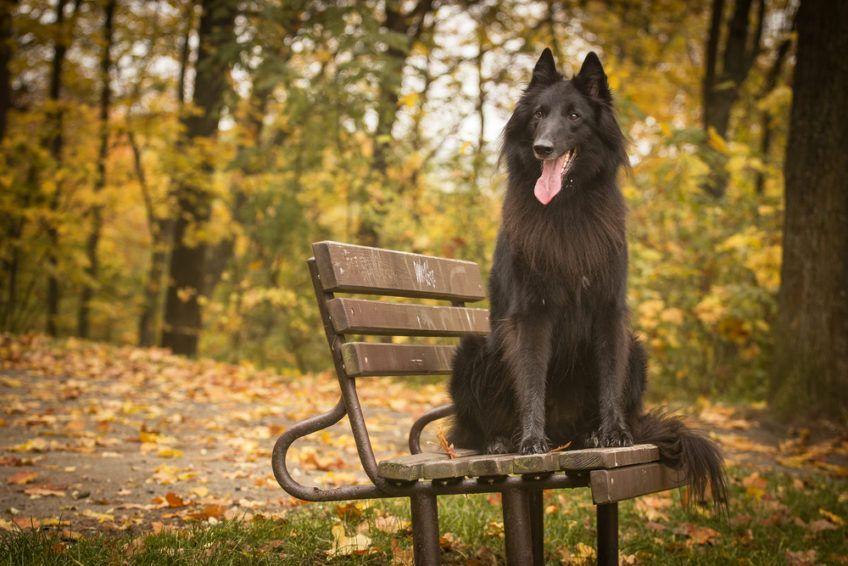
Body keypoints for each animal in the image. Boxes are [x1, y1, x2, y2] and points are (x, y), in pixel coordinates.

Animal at [448, 50, 724, 506]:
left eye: (574, 115)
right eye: (539, 115)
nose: (542, 148)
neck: (567, 208)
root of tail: (566, 433)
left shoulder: (609, 312)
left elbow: (609, 377)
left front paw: (614, 433)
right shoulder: (531, 316)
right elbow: (531, 379)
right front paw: (530, 441)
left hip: (637, 350)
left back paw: (590, 435)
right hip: (472, 350)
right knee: (470, 428)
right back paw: (500, 440)